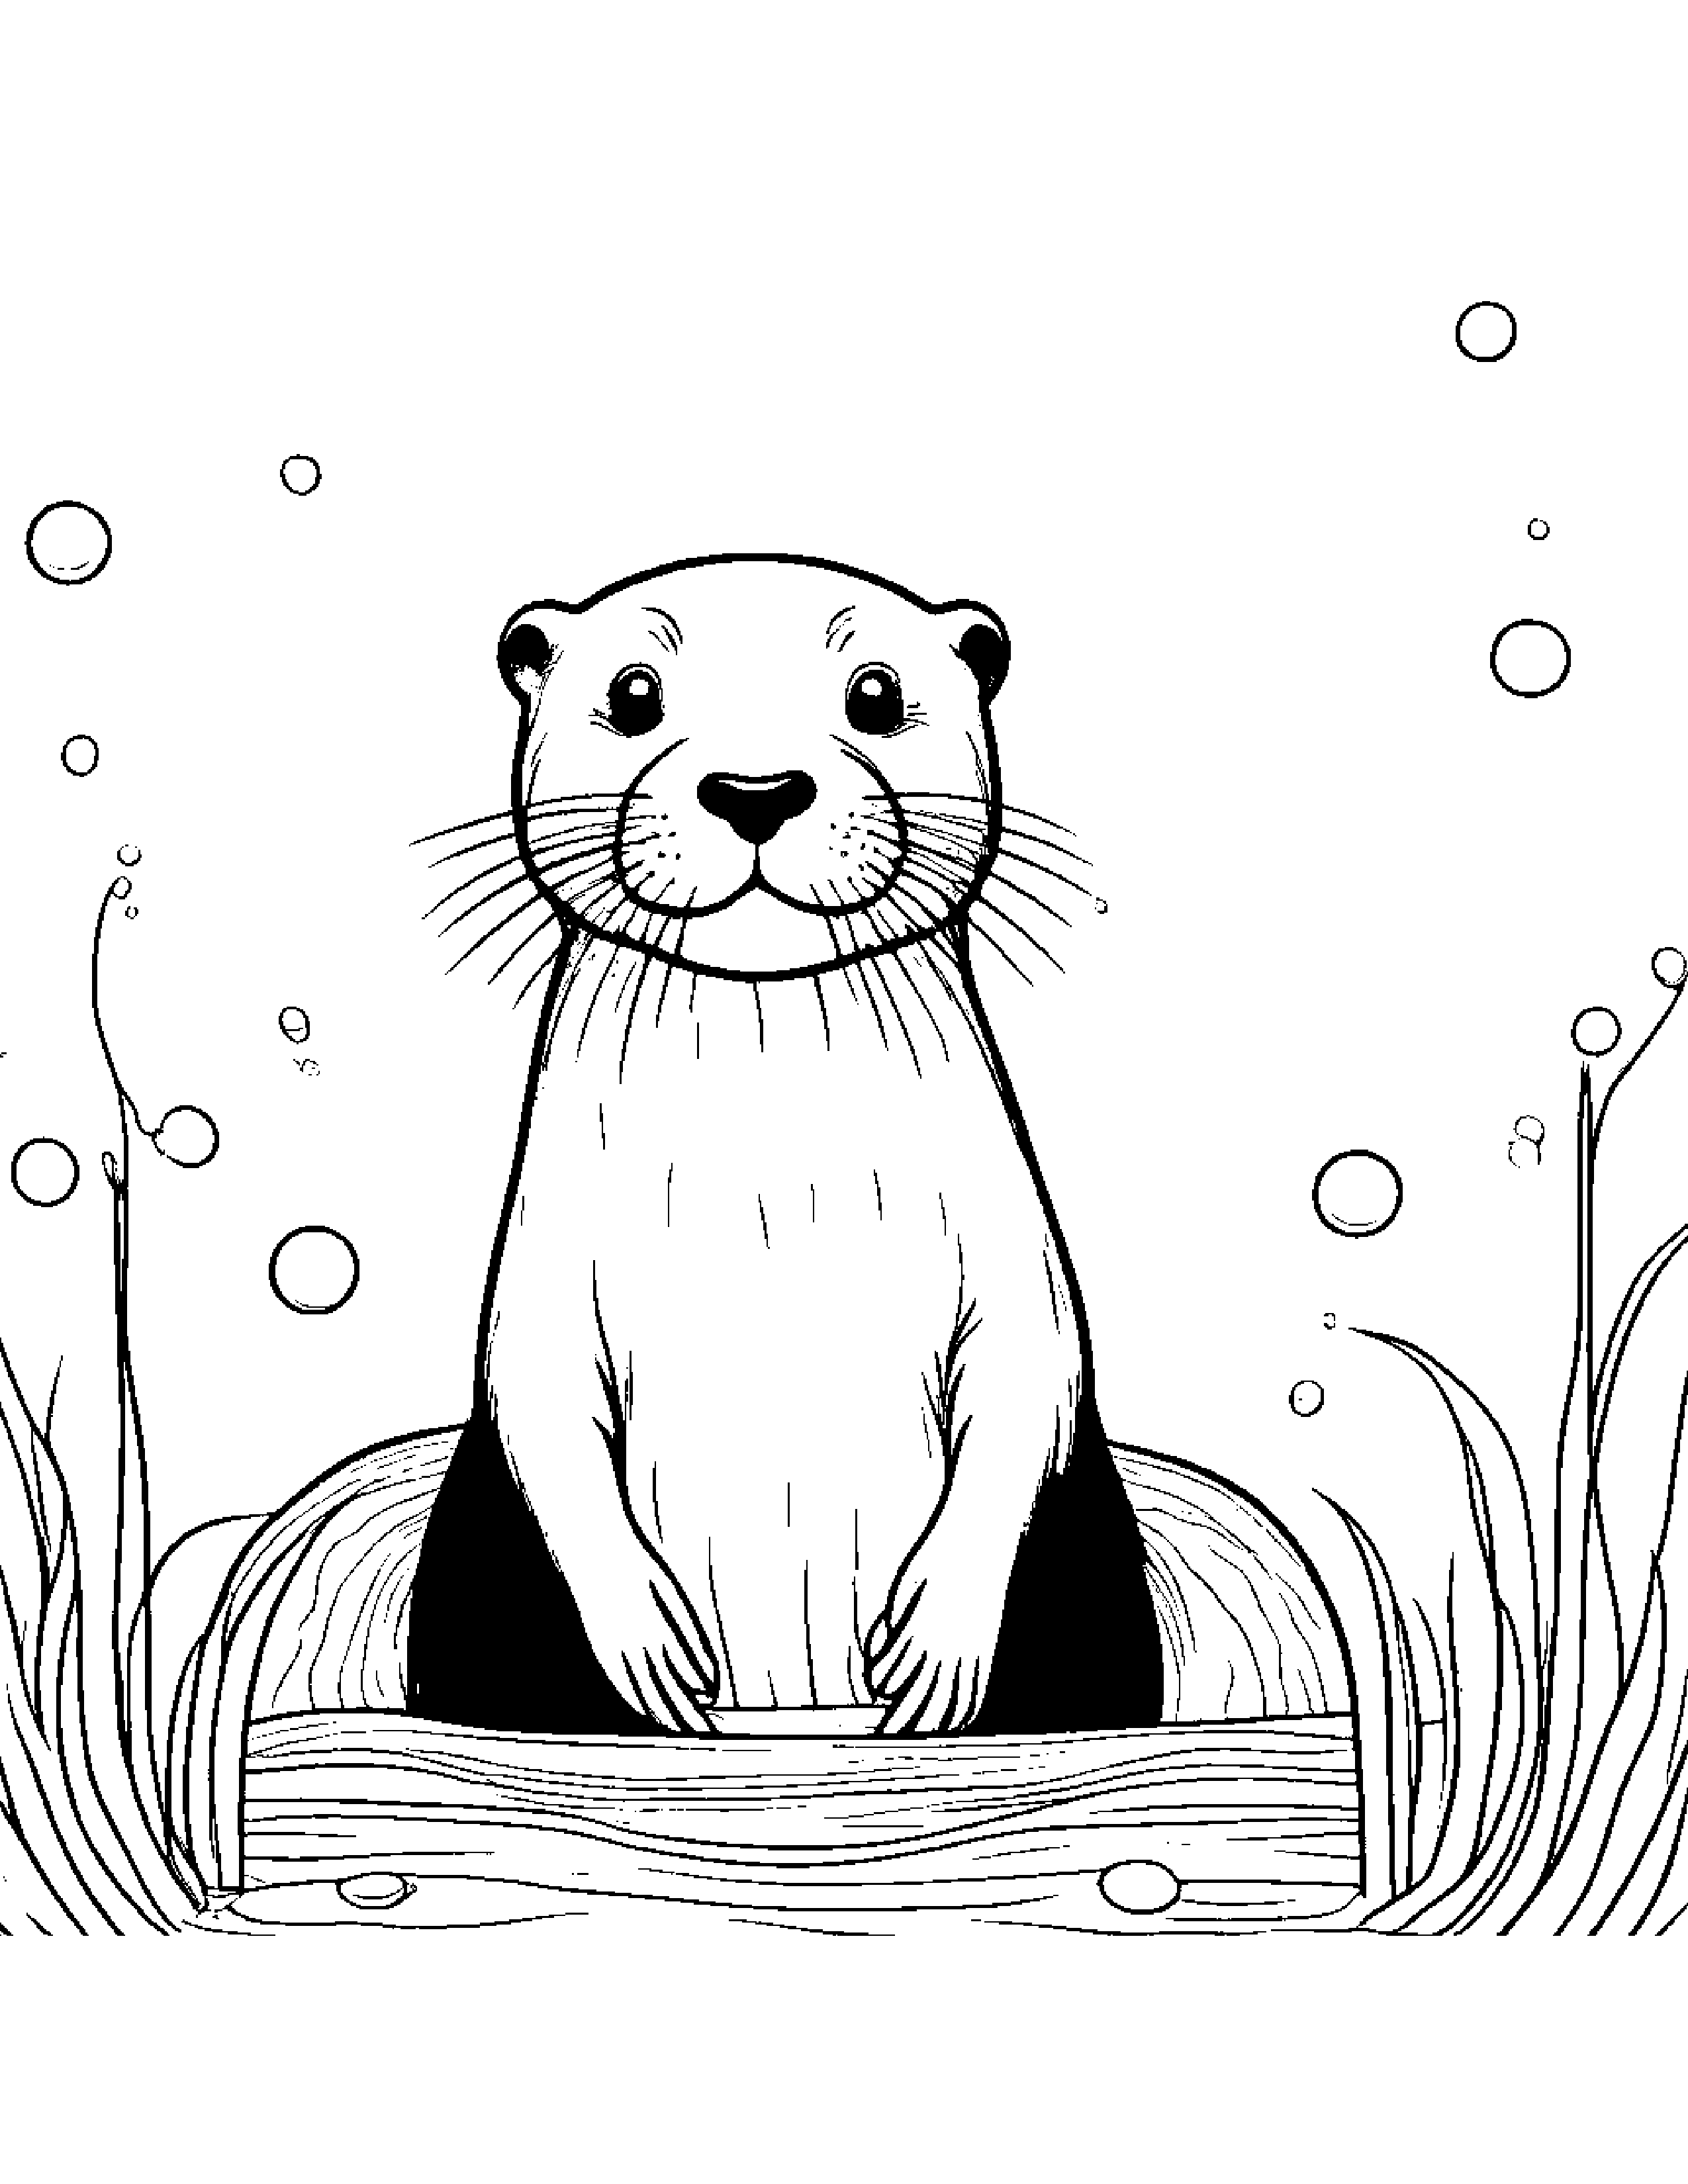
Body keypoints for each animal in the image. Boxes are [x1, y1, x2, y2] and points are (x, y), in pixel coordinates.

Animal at [406, 554, 1162, 1735]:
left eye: (874, 694)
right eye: (633, 694)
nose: (755, 790)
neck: (770, 1188)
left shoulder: (1009, 1252)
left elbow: (1028, 1384)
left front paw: (940, 1644)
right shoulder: (546, 1266)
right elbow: (538, 1404)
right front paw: (644, 1642)